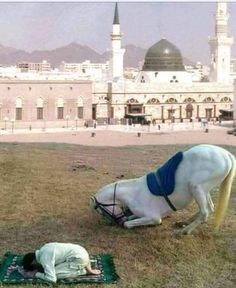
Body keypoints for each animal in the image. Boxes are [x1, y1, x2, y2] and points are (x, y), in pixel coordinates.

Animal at [90, 144, 234, 234]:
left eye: (100, 210)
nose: (116, 222)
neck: (133, 193)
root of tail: (226, 154)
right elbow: (130, 218)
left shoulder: (154, 217)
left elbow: (129, 223)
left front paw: (127, 223)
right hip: (204, 190)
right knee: (210, 208)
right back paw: (184, 222)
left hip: (196, 187)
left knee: (205, 213)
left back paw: (184, 231)